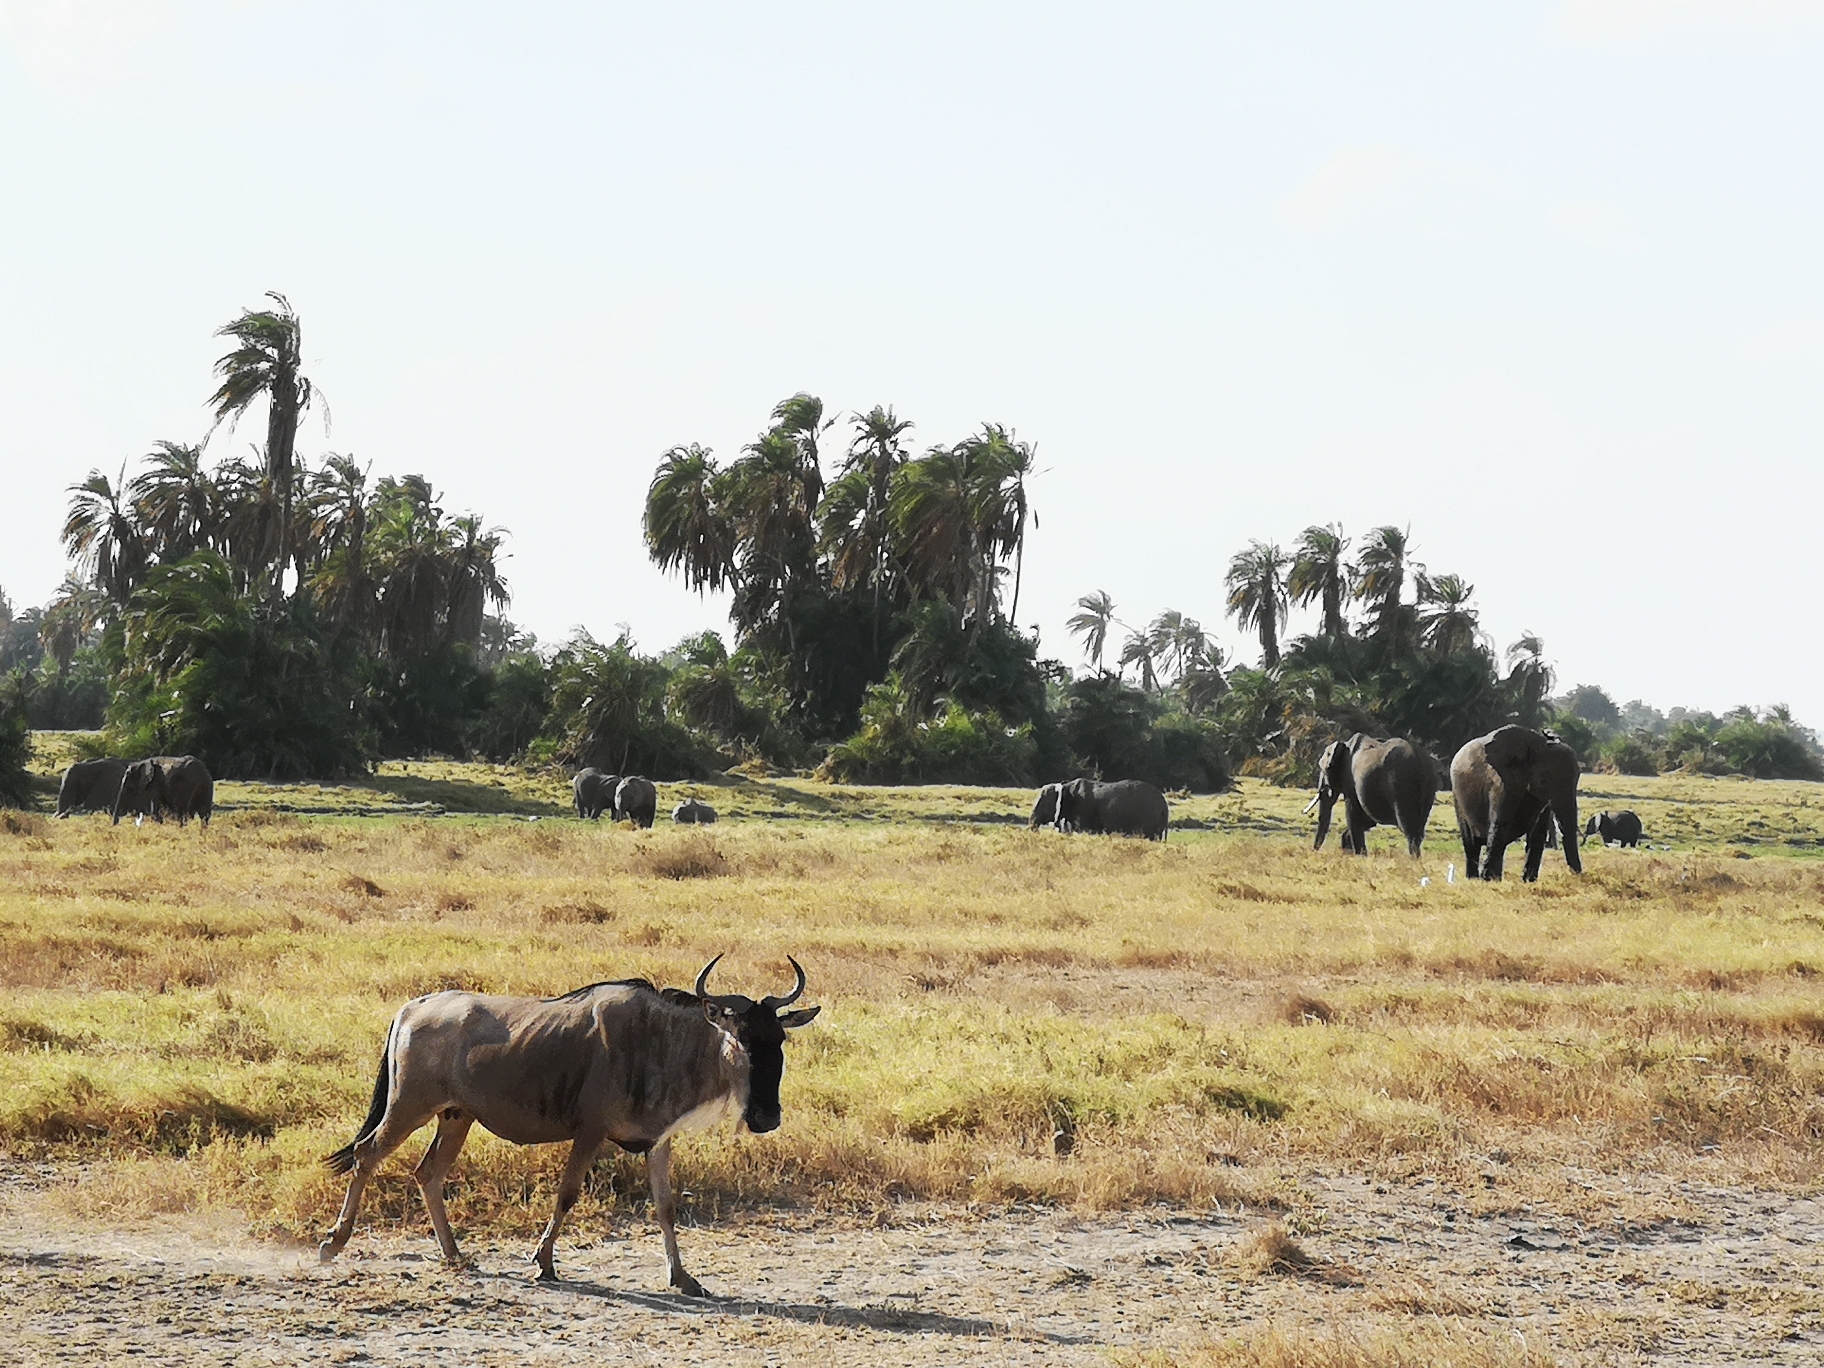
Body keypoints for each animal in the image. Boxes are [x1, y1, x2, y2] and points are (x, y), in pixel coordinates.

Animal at [1451, 722, 1583, 882]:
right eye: (1544, 781)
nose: (1575, 874)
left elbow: (1538, 830)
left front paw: (1528, 881)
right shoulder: (1502, 780)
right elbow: (1502, 821)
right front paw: (1488, 880)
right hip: (1458, 796)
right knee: (1470, 841)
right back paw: (1474, 879)